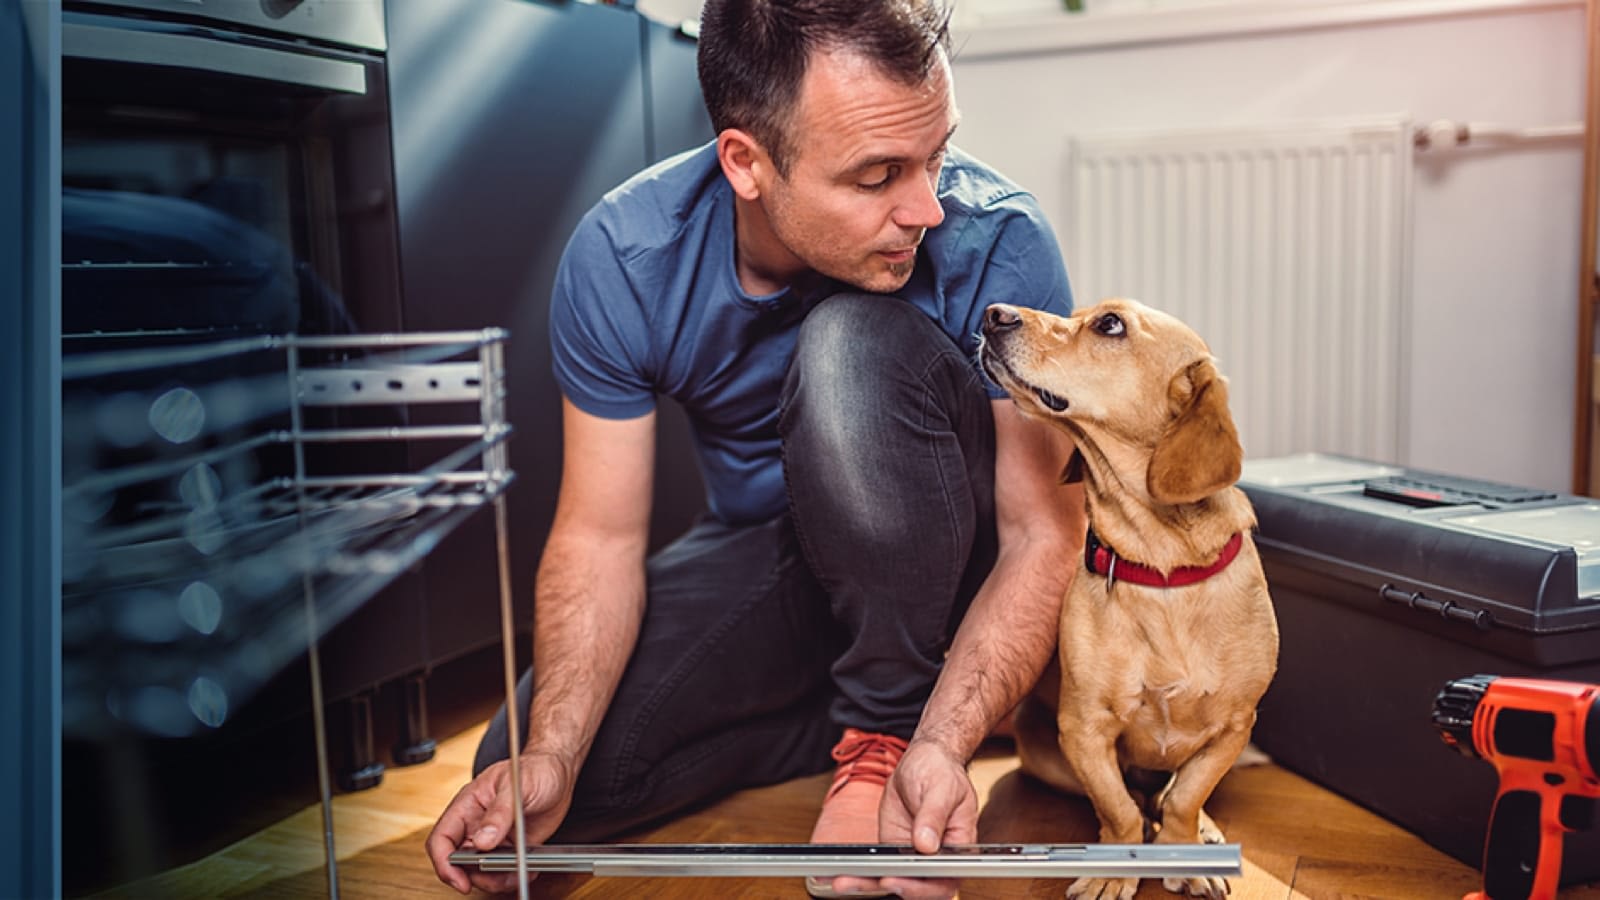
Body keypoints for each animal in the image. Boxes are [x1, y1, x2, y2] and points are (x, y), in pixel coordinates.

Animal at [972, 297, 1273, 890]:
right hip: (1048, 757)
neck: (1163, 569)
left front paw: (1182, 848)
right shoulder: (1083, 731)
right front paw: (1115, 867)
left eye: (1110, 325)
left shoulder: (1232, 728)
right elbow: (1118, 808)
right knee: (1132, 795)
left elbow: (1185, 797)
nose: (994, 313)